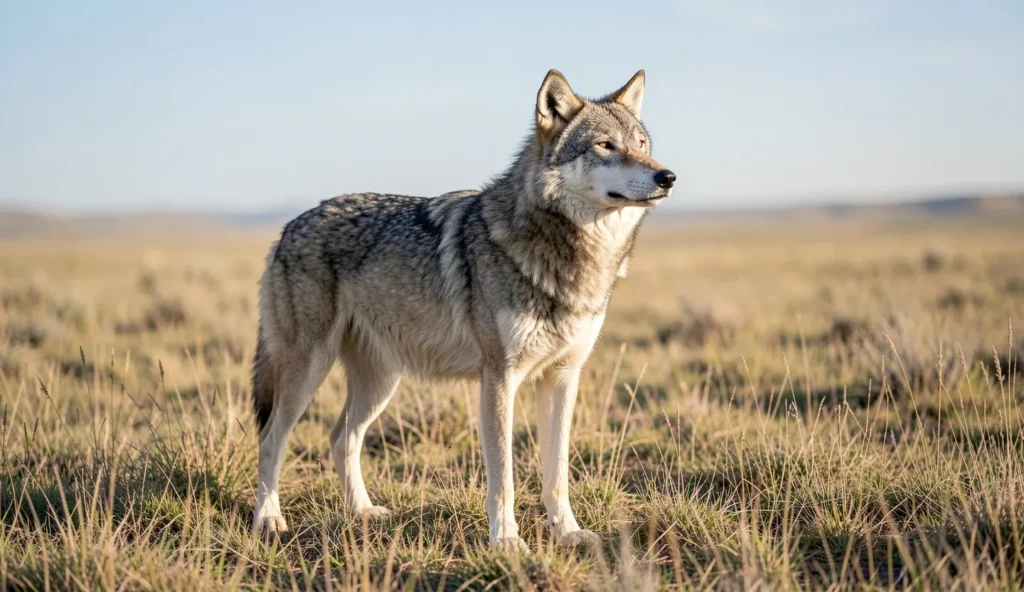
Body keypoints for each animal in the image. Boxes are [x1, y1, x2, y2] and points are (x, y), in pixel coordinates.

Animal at [251, 69, 675, 550]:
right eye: (606, 145)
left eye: (642, 144)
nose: (668, 176)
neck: (571, 257)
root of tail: (288, 226)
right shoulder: (499, 378)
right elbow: (504, 476)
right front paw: (506, 541)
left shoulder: (563, 378)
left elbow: (557, 474)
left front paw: (567, 532)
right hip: (308, 371)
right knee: (271, 438)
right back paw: (268, 519)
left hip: (380, 381)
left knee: (341, 437)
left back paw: (361, 511)